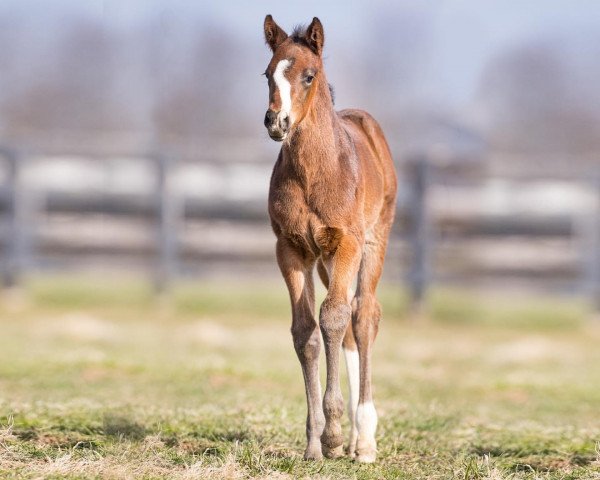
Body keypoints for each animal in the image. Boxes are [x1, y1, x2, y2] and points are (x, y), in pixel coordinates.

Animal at [264, 16, 398, 464]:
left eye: (309, 75)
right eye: (267, 74)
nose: (276, 122)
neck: (314, 172)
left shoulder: (346, 244)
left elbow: (334, 318)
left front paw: (334, 436)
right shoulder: (291, 248)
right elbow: (306, 331)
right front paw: (314, 442)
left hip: (373, 243)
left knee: (364, 314)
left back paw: (365, 438)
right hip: (324, 262)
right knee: (349, 328)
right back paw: (355, 439)